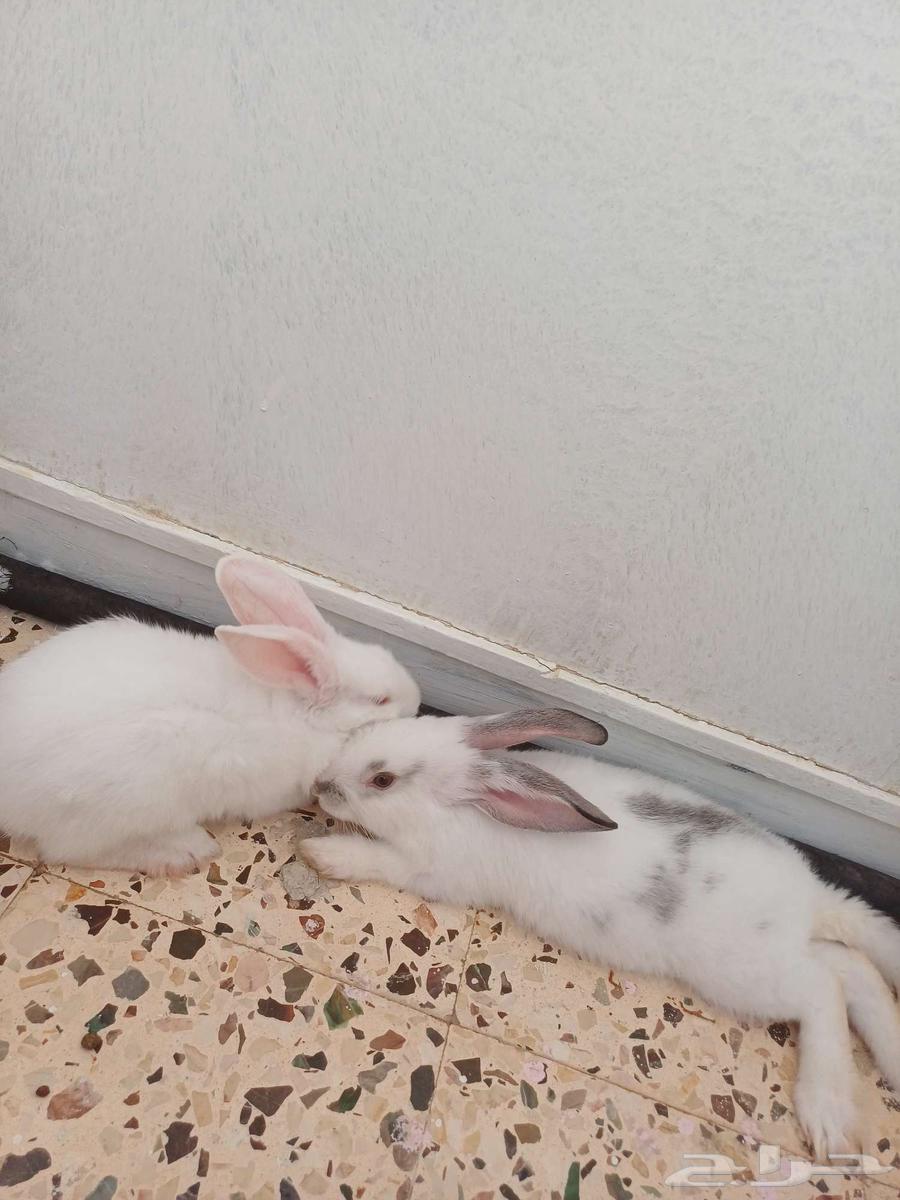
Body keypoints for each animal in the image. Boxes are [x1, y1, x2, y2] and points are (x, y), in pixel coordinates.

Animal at [0, 555, 419, 875]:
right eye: (381, 699)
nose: (417, 702)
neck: (297, 708)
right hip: (124, 805)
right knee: (71, 850)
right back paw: (186, 851)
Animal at [300, 707, 900, 1161]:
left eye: (382, 780)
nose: (320, 783)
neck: (462, 805)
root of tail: (810, 898)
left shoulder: (427, 871)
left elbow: (375, 859)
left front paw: (320, 852)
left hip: (749, 975)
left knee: (825, 988)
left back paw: (826, 1117)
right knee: (854, 969)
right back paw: (890, 1058)